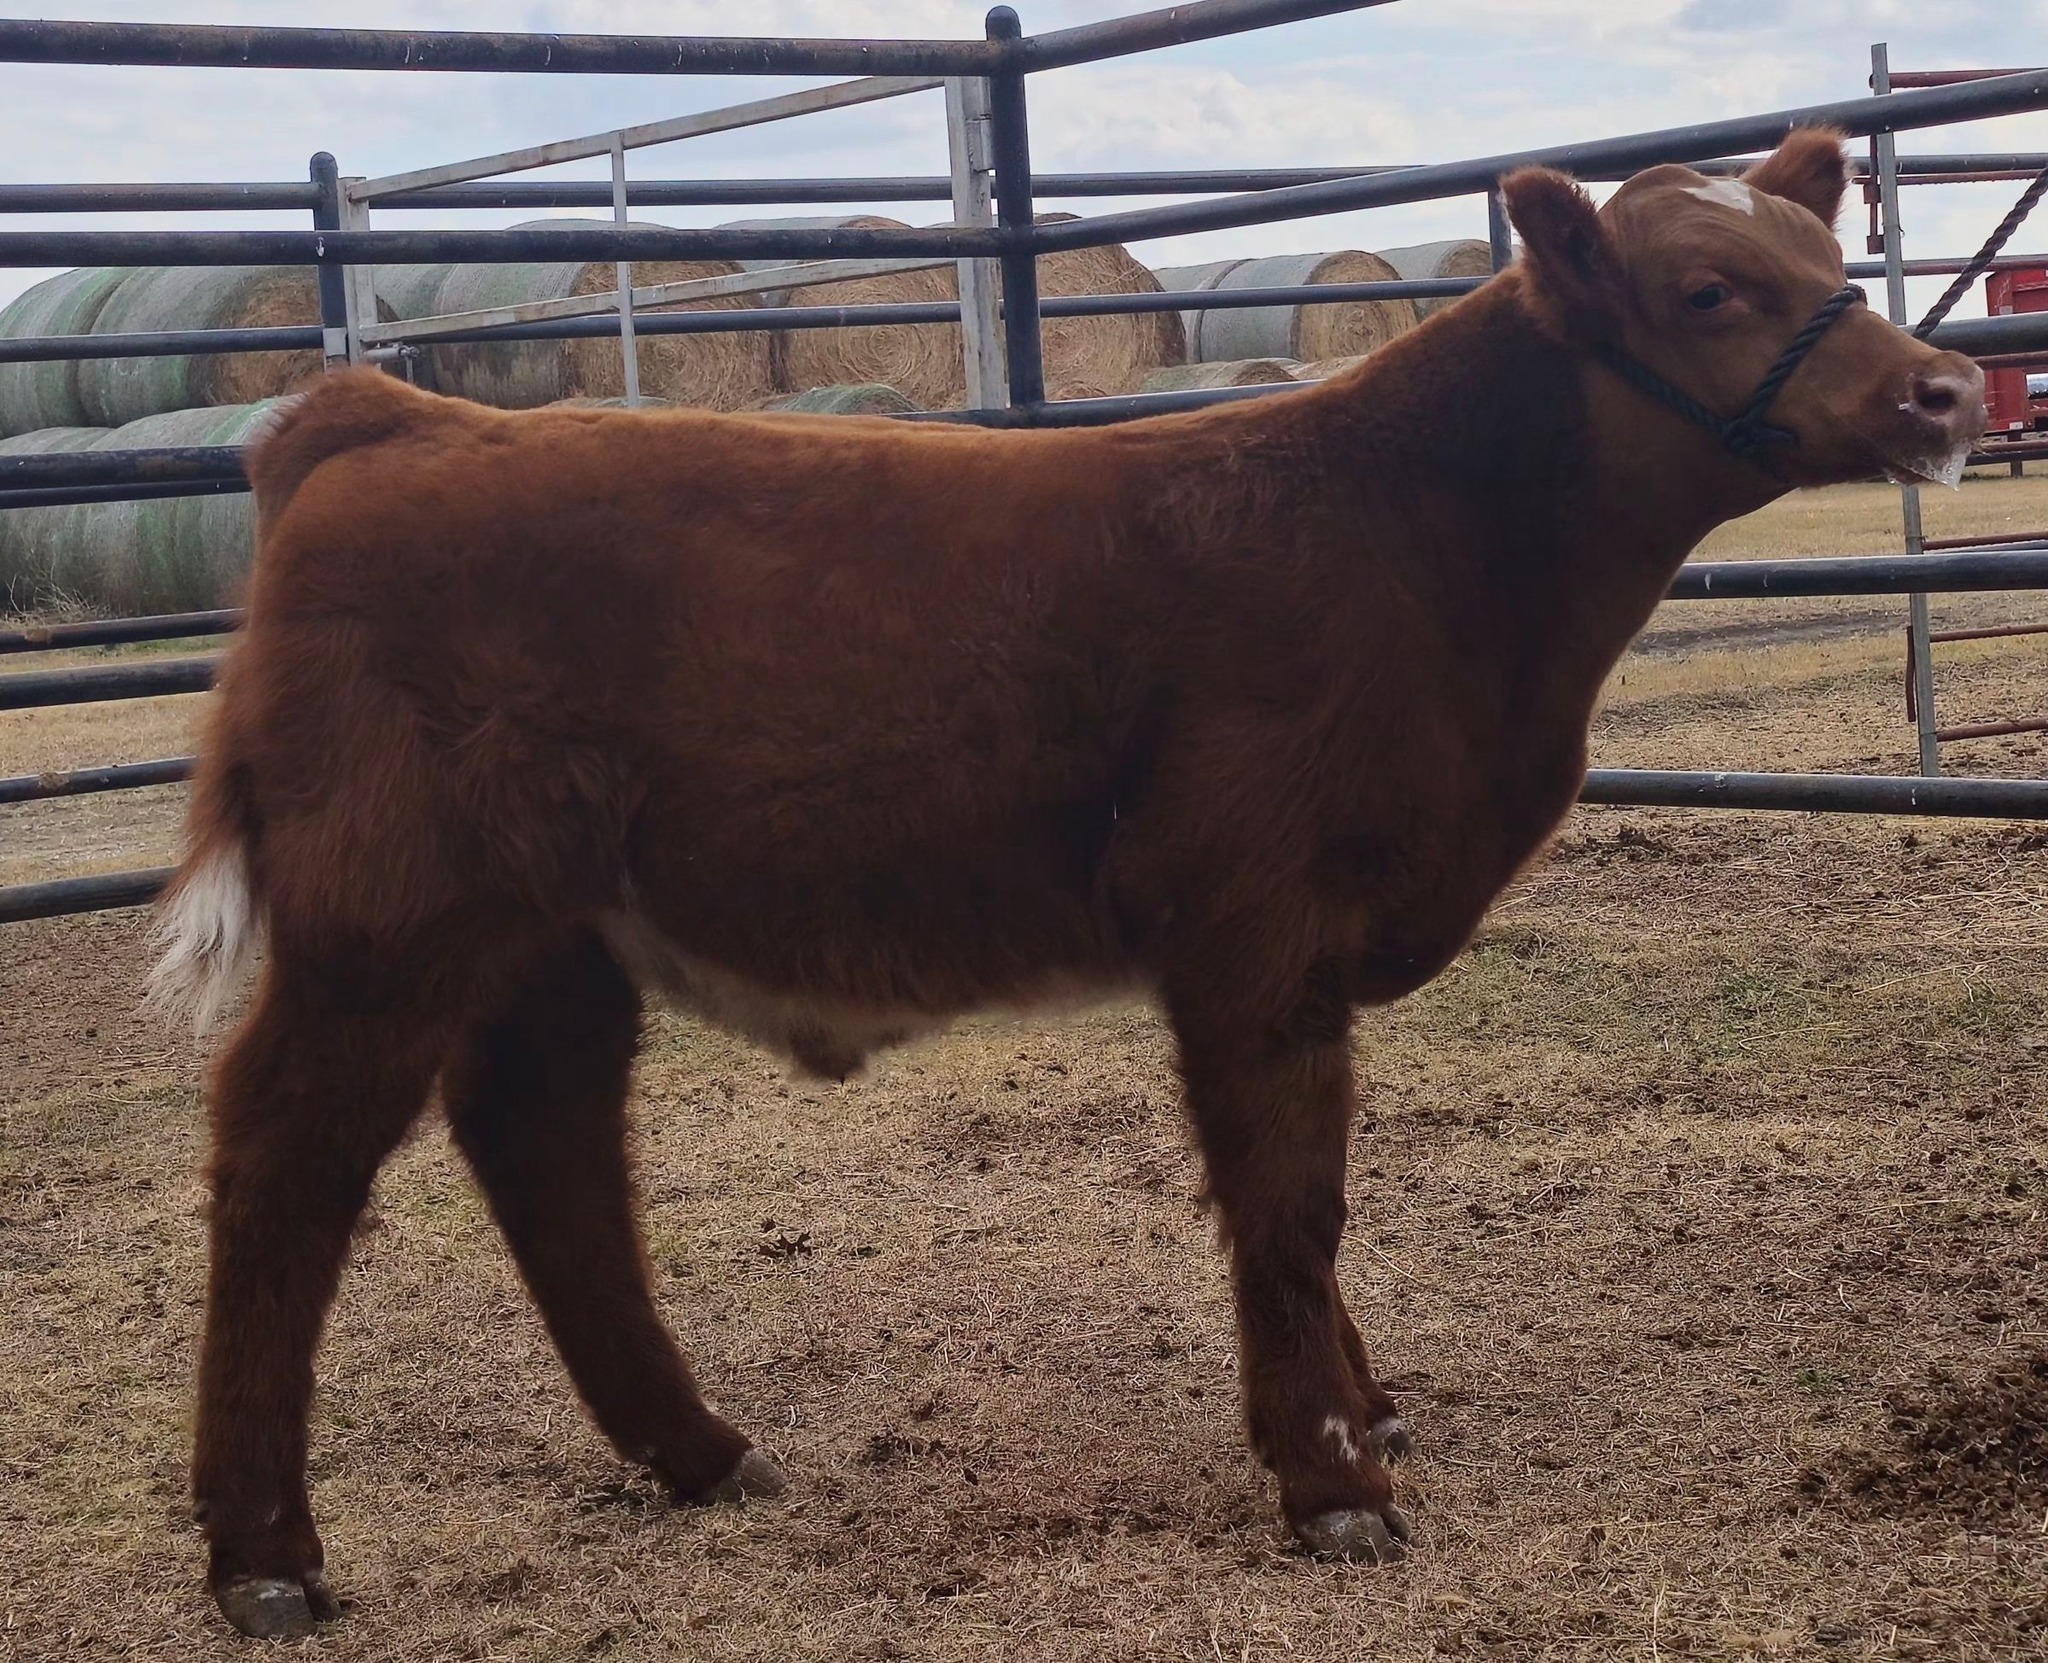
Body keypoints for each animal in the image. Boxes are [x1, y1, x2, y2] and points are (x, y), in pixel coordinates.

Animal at [148, 129, 1982, 1638]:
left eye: (1826, 257)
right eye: (1707, 287)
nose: (1944, 393)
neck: (1433, 559)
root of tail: (393, 418)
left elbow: (1311, 1193)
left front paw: (1367, 1408)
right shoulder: (1253, 921)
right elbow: (1287, 1193)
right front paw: (1331, 1476)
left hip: (552, 933)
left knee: (547, 1144)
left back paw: (700, 1449)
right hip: (385, 919)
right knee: (286, 1163)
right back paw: (266, 1553)